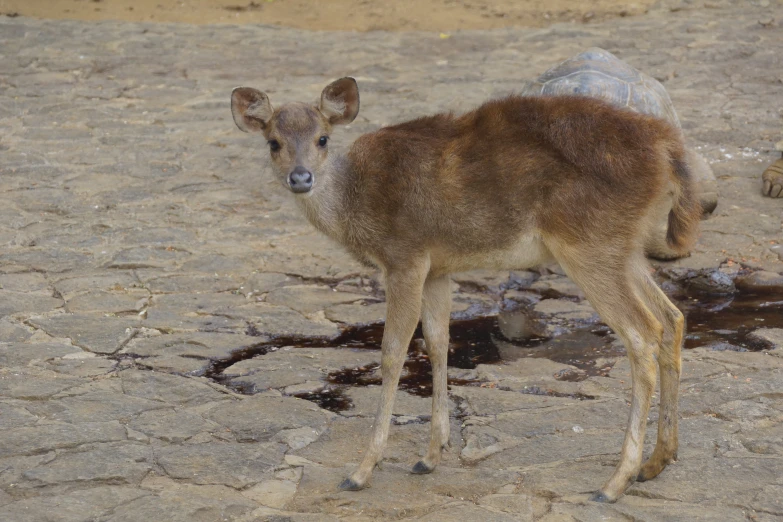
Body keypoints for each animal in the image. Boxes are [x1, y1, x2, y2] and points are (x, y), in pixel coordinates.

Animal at [230, 77, 700, 500]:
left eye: (323, 138)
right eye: (273, 142)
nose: (301, 177)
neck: (356, 206)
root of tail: (667, 148)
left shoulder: (405, 256)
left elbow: (392, 353)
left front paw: (362, 470)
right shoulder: (438, 268)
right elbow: (438, 342)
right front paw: (430, 455)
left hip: (589, 243)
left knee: (642, 333)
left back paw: (615, 481)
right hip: (625, 248)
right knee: (673, 317)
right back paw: (657, 462)